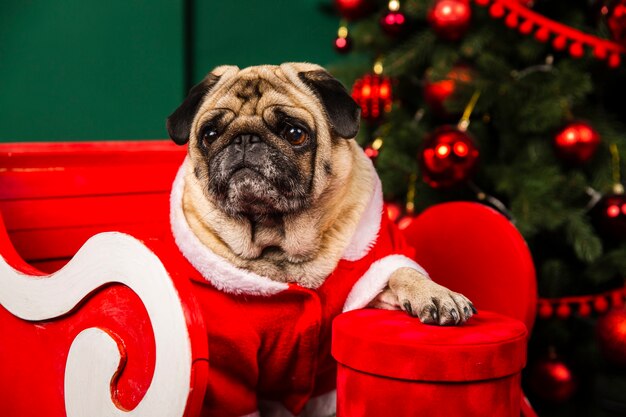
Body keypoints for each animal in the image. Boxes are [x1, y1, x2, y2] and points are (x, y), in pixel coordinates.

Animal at [166, 62, 472, 416]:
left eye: (294, 133)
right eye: (210, 135)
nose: (244, 138)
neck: (278, 241)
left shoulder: (371, 282)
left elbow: (403, 271)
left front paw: (436, 294)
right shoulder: (231, 364)